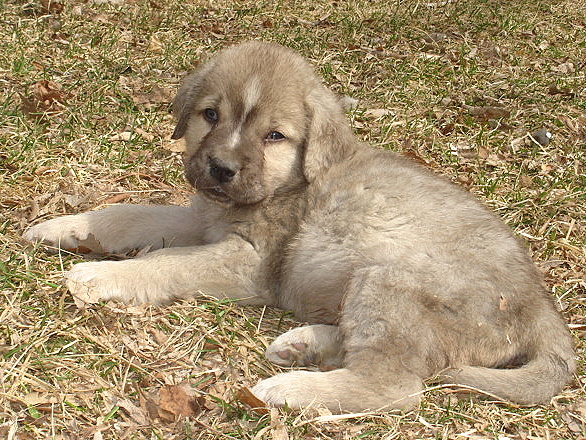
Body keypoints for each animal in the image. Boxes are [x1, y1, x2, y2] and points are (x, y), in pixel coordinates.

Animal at [25, 40, 572, 412]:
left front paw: (101, 276)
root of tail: (543, 310)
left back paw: (288, 389)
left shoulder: (248, 261)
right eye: (210, 115)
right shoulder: (202, 217)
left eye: (274, 136)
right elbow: (131, 214)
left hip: (392, 279)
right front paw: (64, 226)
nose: (221, 168)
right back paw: (303, 344)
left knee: (395, 384)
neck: (286, 186)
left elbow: (164, 262)